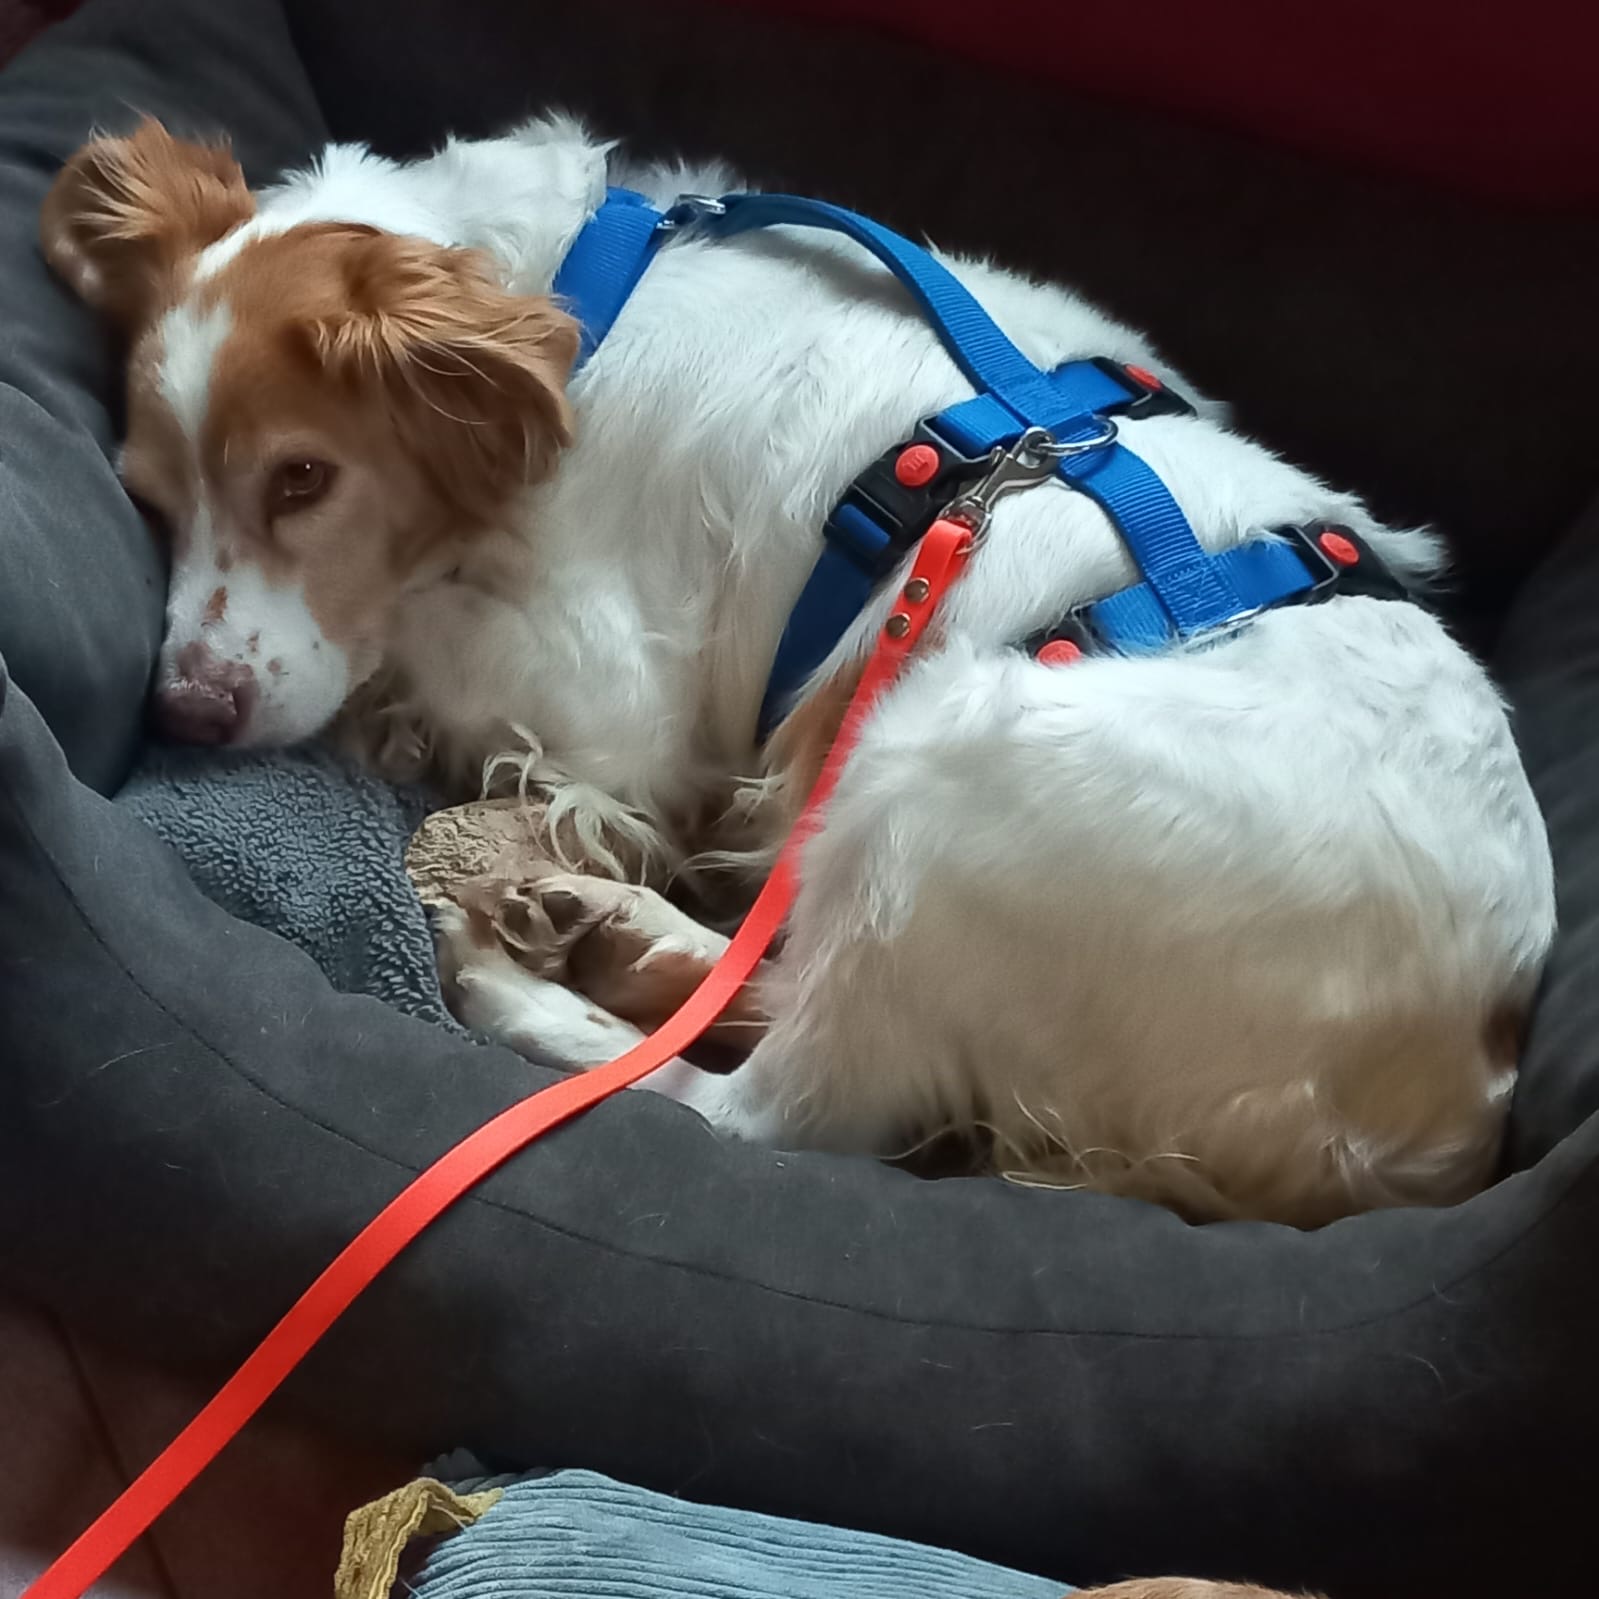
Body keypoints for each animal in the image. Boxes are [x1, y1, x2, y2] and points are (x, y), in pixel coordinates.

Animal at [41, 115, 1556, 1226]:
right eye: (149, 498)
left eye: (302, 478)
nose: (186, 709)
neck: (579, 296)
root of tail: (1450, 1094)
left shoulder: (609, 689)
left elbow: (412, 655)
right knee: (767, 981)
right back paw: (605, 920)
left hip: (943, 774)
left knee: (755, 1111)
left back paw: (511, 977)